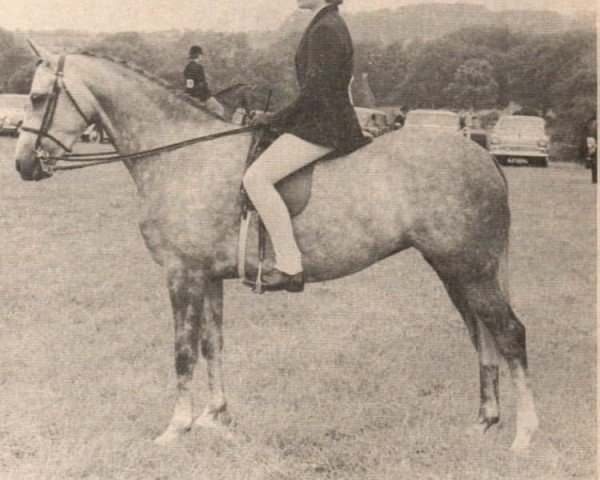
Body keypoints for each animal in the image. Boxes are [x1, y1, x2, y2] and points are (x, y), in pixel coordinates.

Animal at [14, 50, 540, 452]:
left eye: (38, 98)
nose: (22, 166)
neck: (182, 154)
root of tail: (484, 156)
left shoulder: (183, 274)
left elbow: (183, 351)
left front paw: (175, 429)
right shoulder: (210, 277)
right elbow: (212, 345)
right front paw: (217, 419)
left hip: (469, 269)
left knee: (509, 333)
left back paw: (524, 436)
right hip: (455, 271)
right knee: (481, 334)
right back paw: (484, 422)